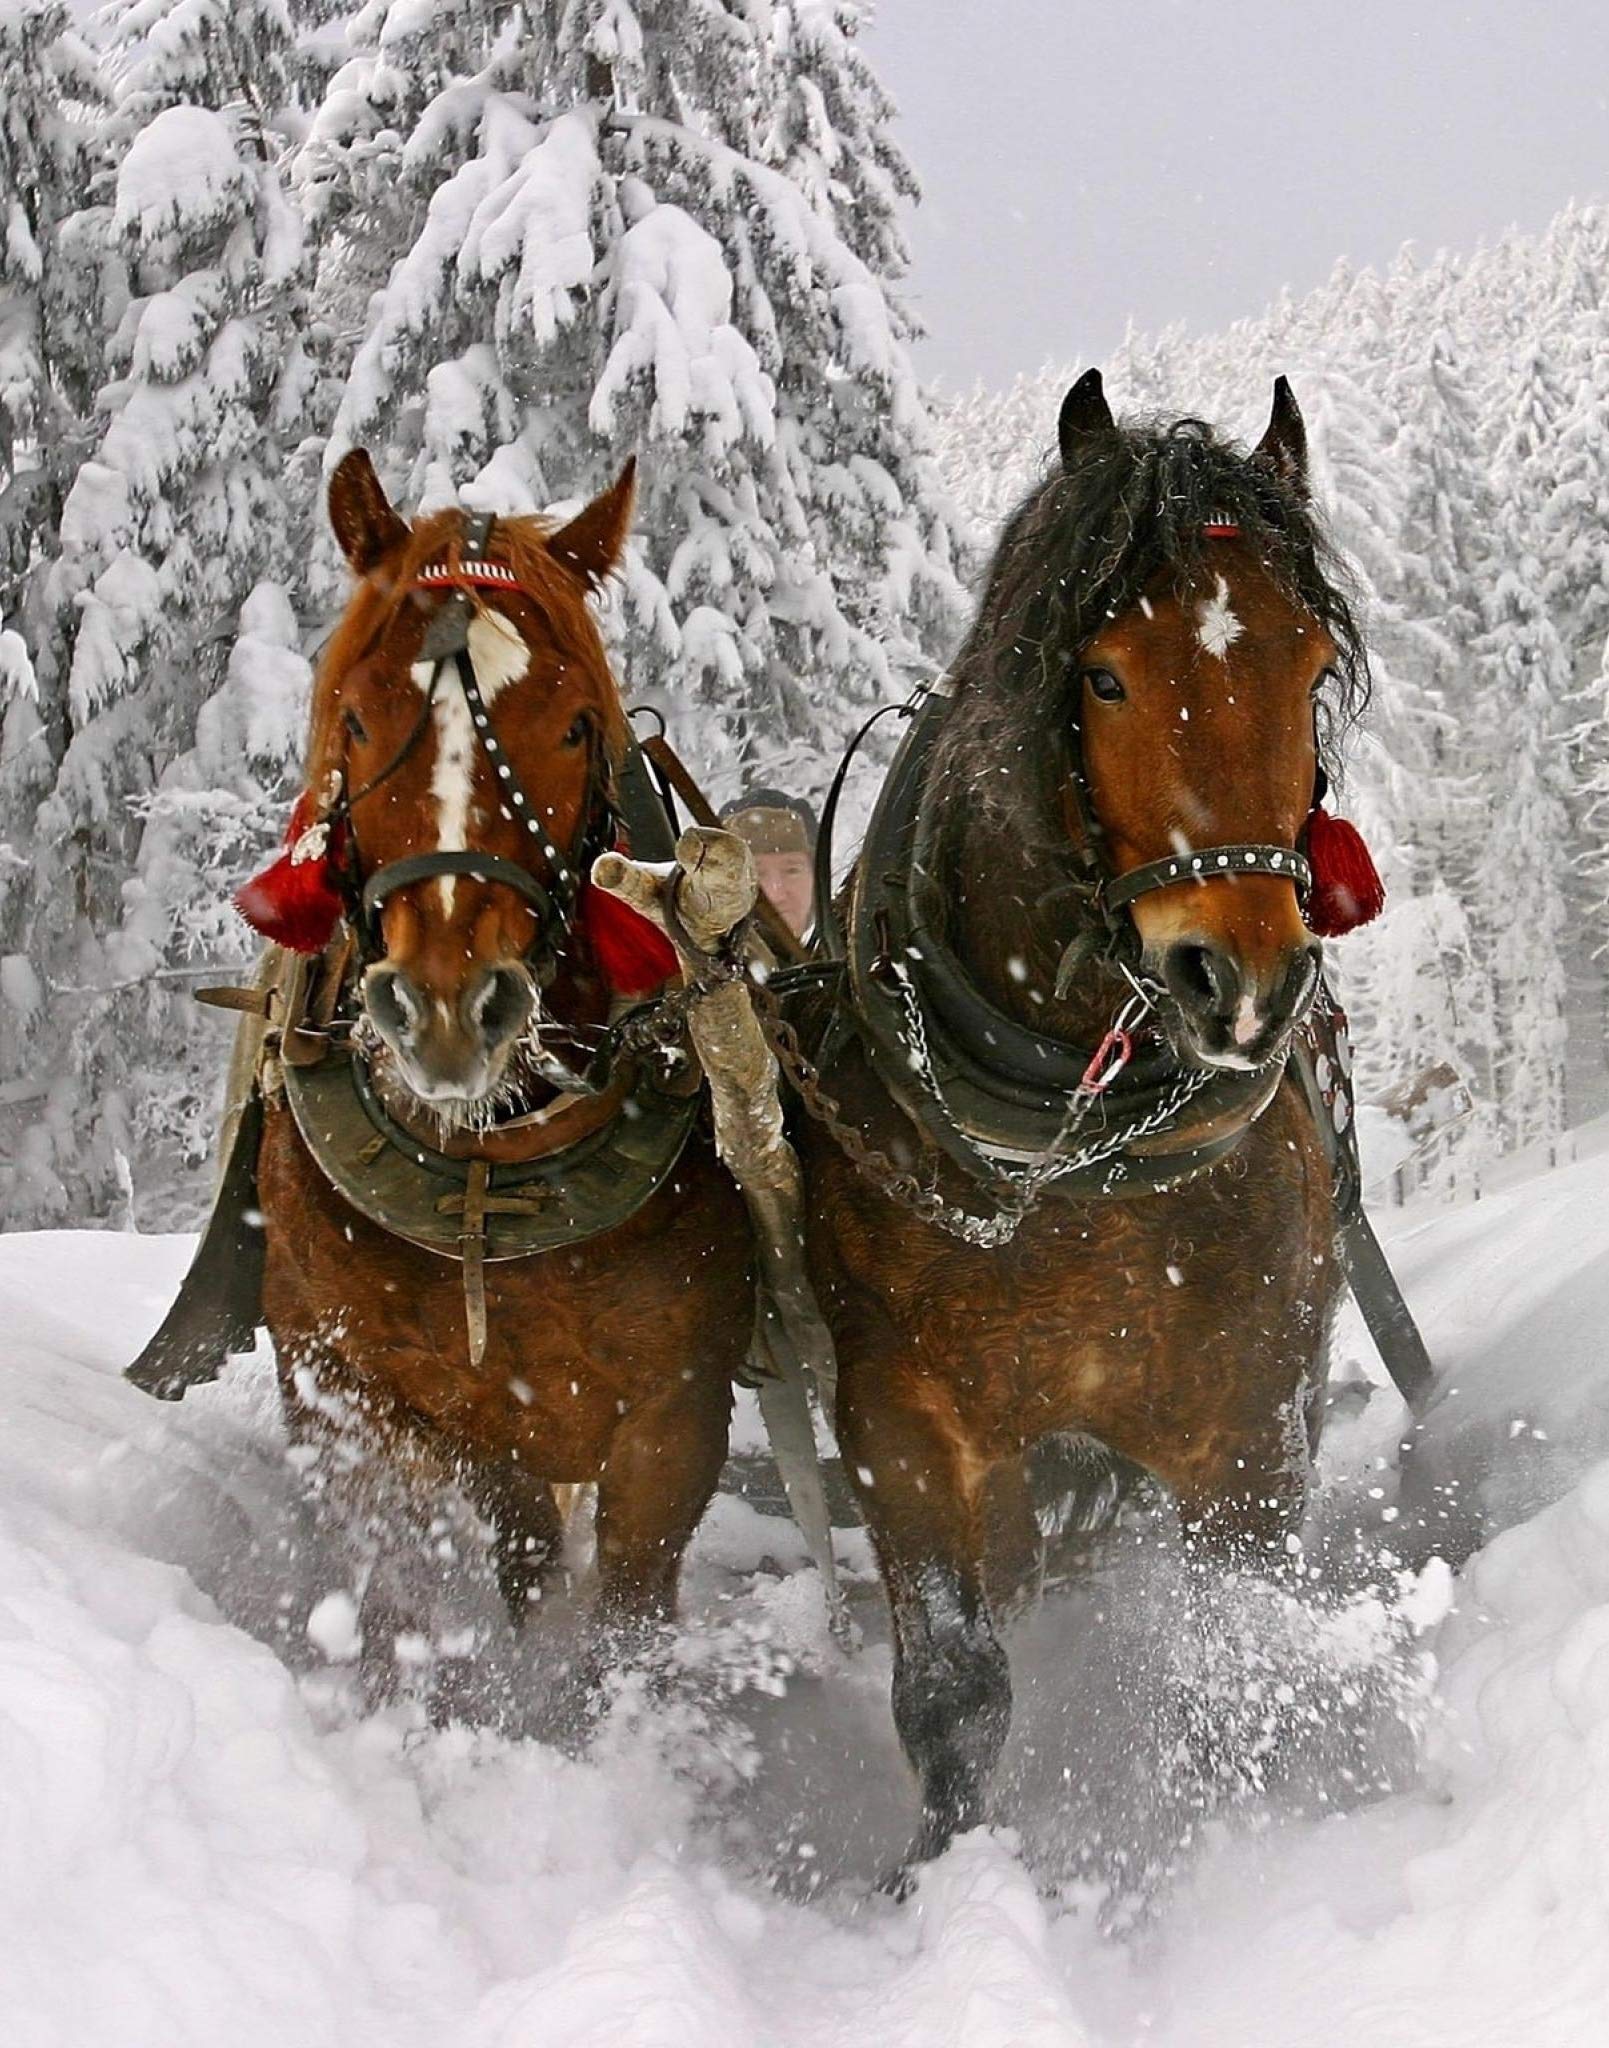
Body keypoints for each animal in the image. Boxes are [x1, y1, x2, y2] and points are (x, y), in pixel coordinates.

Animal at [244, 452, 752, 1703]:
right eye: (357, 712)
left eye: (574, 727)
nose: (446, 1008)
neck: (488, 1163)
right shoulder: (345, 1388)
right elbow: (388, 1591)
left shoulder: (673, 1416)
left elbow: (628, 1612)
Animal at [797, 372, 1370, 1871]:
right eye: (1103, 674)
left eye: (1305, 668)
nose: (1240, 979)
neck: (1072, 1155)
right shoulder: (900, 1423)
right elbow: (952, 1689)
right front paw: (940, 1880)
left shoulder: (1250, 1420)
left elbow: (1235, 1658)